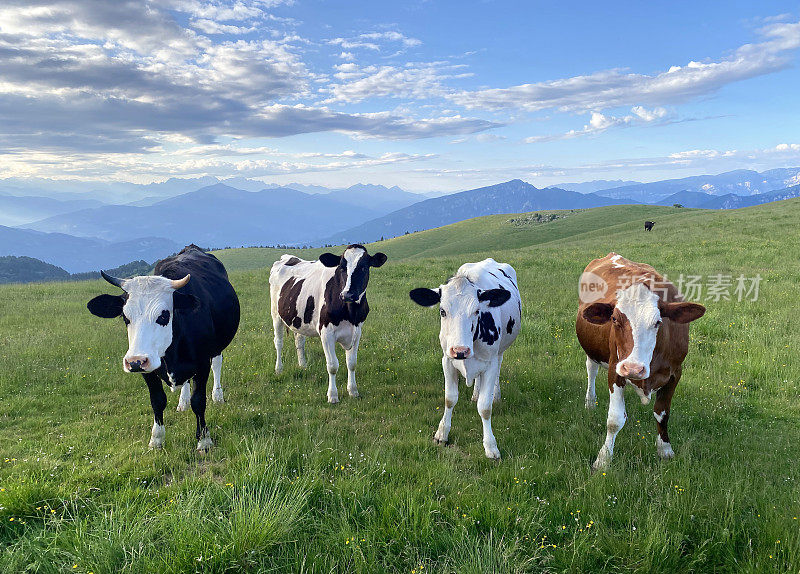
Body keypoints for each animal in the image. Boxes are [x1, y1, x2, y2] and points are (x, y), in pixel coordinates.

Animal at [87, 245, 239, 452]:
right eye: (125, 317)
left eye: (163, 315)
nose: (134, 361)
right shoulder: (147, 369)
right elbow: (157, 401)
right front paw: (157, 439)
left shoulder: (202, 364)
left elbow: (199, 401)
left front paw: (204, 440)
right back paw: (182, 402)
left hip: (216, 347)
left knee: (217, 364)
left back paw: (217, 395)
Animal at [268, 245, 388, 402]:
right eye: (342, 267)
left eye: (363, 267)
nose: (347, 294)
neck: (350, 313)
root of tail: (287, 257)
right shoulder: (326, 333)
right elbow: (332, 365)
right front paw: (332, 395)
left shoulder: (357, 331)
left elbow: (352, 363)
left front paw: (353, 391)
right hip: (276, 314)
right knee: (278, 342)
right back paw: (279, 369)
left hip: (298, 318)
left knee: (299, 341)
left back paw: (303, 365)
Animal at [410, 258, 520, 462]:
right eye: (442, 311)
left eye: (477, 311)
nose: (460, 350)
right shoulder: (447, 360)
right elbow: (449, 399)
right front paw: (442, 434)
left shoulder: (490, 363)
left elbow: (485, 407)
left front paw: (491, 447)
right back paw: (475, 394)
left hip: (500, 352)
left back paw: (496, 395)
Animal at [576, 254, 708, 470]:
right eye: (614, 319)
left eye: (658, 322)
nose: (633, 368)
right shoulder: (615, 369)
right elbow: (614, 419)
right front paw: (603, 459)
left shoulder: (675, 372)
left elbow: (662, 413)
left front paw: (665, 450)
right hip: (593, 351)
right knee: (591, 370)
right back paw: (590, 402)